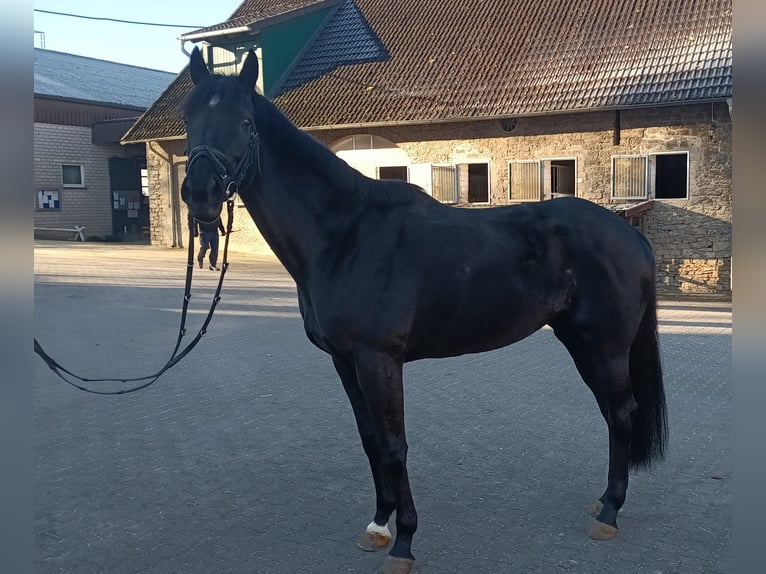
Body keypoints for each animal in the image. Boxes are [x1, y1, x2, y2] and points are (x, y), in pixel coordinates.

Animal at [183, 49, 668, 574]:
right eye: (190, 119)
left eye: (245, 122)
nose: (200, 195)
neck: (345, 235)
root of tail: (630, 234)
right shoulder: (345, 361)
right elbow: (370, 440)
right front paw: (378, 525)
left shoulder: (379, 359)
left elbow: (394, 445)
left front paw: (404, 542)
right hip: (581, 343)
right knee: (612, 414)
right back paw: (603, 503)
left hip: (605, 347)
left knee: (622, 413)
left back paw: (611, 512)